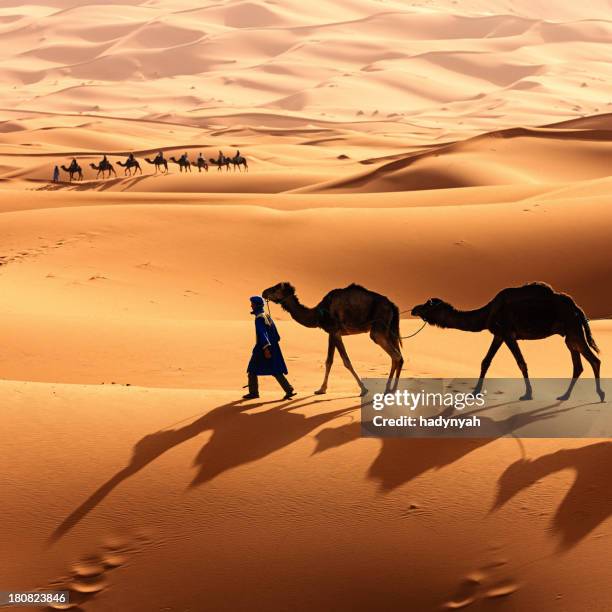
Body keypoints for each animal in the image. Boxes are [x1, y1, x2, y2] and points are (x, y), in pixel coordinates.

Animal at [262, 280, 402, 394]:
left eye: (275, 288)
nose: (264, 292)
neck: (318, 314)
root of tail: (392, 305)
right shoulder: (331, 333)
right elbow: (329, 361)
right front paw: (321, 389)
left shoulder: (335, 331)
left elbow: (346, 361)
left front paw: (363, 389)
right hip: (389, 330)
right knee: (398, 357)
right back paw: (391, 389)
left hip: (378, 329)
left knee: (396, 356)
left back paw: (390, 390)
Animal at [408, 284, 604, 404]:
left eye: (428, 305)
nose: (414, 309)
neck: (488, 312)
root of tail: (577, 308)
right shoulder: (499, 335)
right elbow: (485, 361)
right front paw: (475, 392)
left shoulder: (508, 334)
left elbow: (521, 362)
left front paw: (528, 394)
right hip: (569, 335)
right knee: (578, 365)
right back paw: (565, 395)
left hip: (573, 329)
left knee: (594, 360)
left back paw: (600, 395)